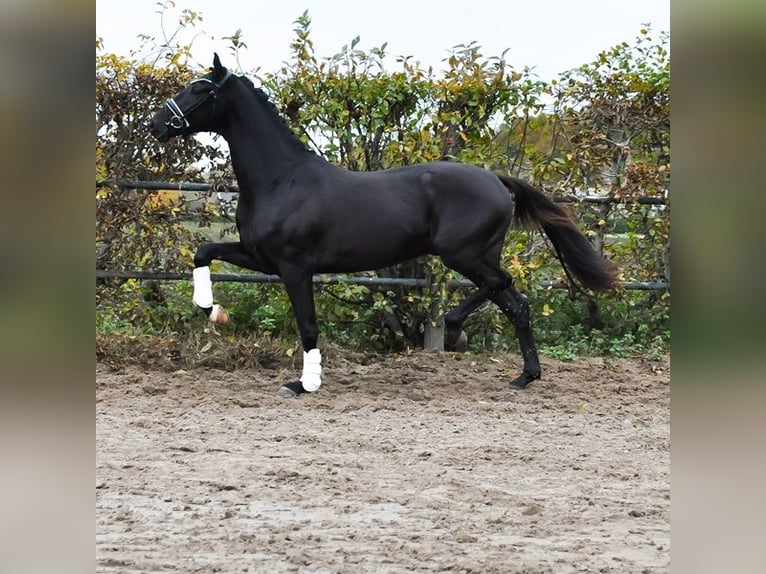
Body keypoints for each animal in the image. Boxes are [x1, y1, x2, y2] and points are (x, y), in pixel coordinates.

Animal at [150, 54, 616, 398]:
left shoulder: (294, 267)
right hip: (477, 254)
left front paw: (304, 384)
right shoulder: (262, 258)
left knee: (501, 285)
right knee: (515, 303)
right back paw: (524, 376)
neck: (281, 180)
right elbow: (204, 251)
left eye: (200, 90)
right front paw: (212, 310)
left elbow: (308, 325)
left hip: (463, 253)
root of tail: (496, 180)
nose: (156, 125)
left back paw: (454, 327)